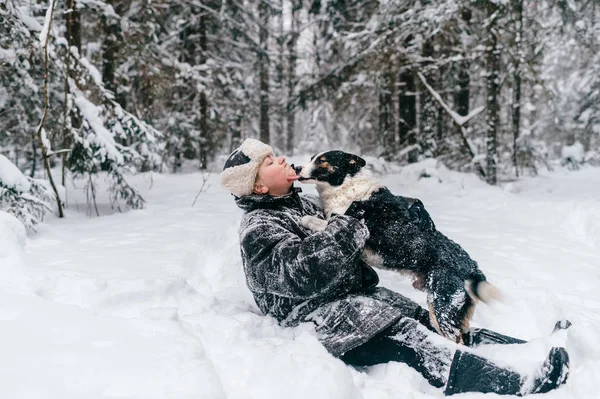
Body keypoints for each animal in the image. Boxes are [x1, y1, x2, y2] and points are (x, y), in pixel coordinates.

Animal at [294, 150, 496, 344]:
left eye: (322, 161)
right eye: (312, 158)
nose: (296, 167)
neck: (346, 186)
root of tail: (474, 270)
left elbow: (319, 222)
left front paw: (306, 219)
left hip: (442, 309)